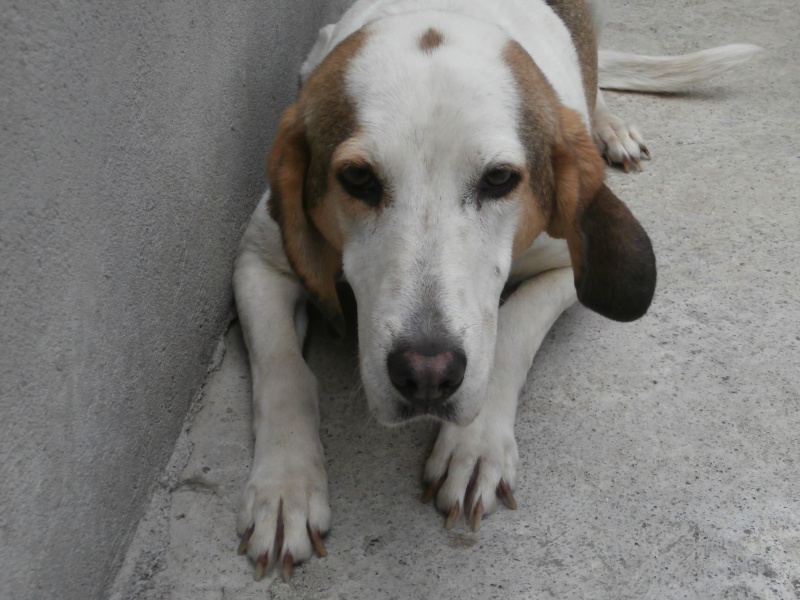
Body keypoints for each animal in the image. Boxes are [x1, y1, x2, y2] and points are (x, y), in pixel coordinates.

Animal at [230, 0, 756, 580]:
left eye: (500, 179)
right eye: (359, 179)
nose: (427, 375)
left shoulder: (567, 268)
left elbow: (512, 331)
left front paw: (475, 444)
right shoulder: (257, 263)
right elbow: (284, 372)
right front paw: (285, 486)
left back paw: (610, 128)